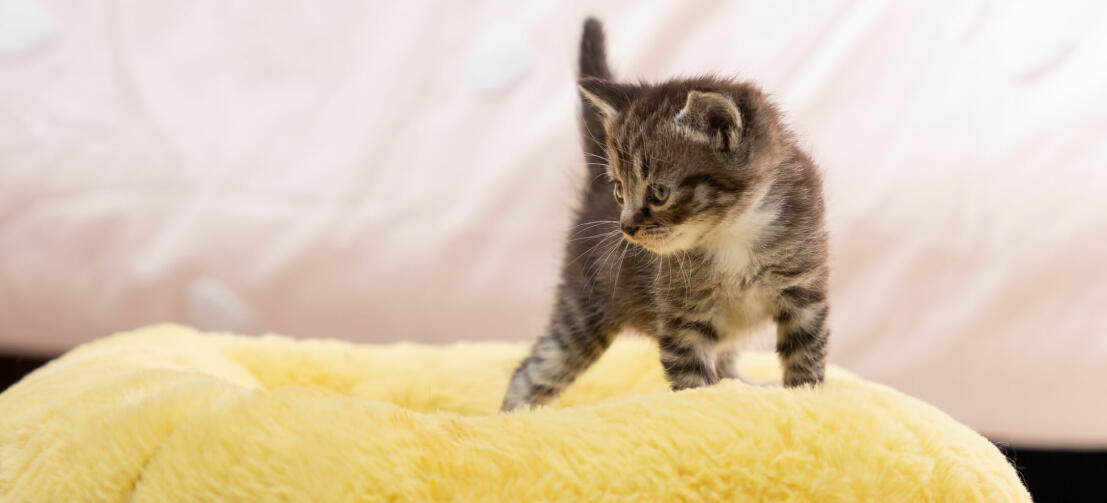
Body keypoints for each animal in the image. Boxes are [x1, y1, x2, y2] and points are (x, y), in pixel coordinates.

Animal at [502, 19, 832, 412]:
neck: (733, 232)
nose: (626, 227)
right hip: (584, 305)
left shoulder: (804, 288)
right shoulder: (681, 313)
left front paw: (805, 400)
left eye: (658, 192)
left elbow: (806, 354)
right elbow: (692, 380)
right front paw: (701, 412)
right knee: (534, 369)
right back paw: (511, 415)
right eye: (620, 190)